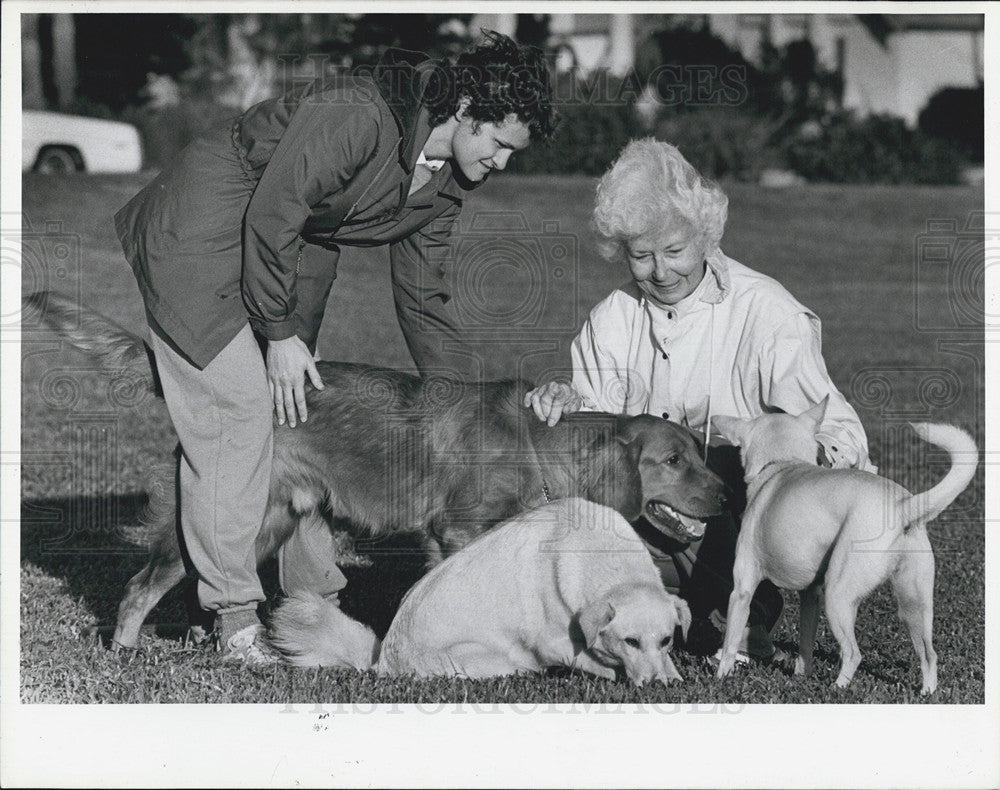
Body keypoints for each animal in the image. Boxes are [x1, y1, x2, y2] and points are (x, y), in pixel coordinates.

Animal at [712, 400, 976, 696]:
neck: (783, 463)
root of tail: (902, 507)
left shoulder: (742, 590)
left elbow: (731, 641)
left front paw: (721, 677)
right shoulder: (810, 596)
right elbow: (805, 644)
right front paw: (801, 677)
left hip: (839, 596)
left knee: (853, 653)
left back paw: (835, 688)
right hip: (913, 604)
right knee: (928, 654)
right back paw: (926, 693)